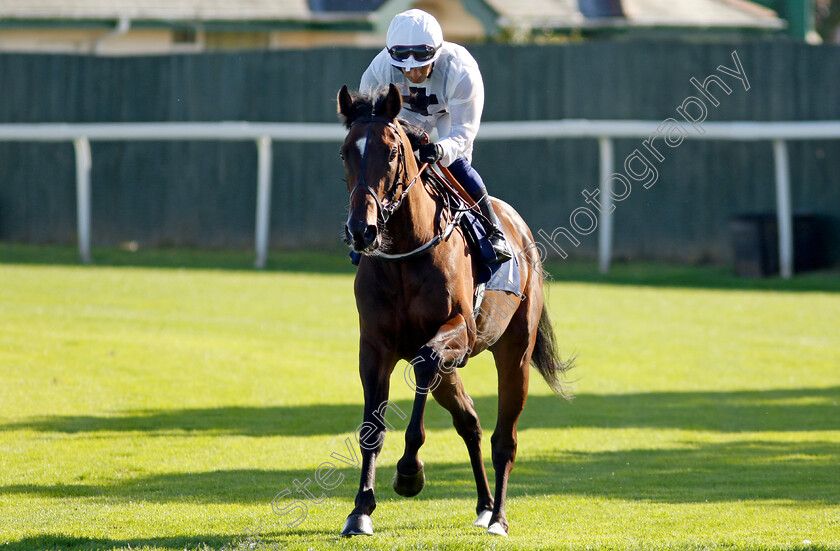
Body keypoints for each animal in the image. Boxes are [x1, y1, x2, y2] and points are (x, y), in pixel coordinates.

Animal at [336, 84, 572, 536]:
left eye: (392, 152)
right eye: (344, 152)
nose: (362, 230)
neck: (406, 254)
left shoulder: (458, 332)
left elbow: (425, 362)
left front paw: (409, 472)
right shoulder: (373, 346)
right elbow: (372, 428)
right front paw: (360, 510)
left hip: (514, 352)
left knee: (504, 438)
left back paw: (498, 517)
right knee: (470, 422)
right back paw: (483, 505)